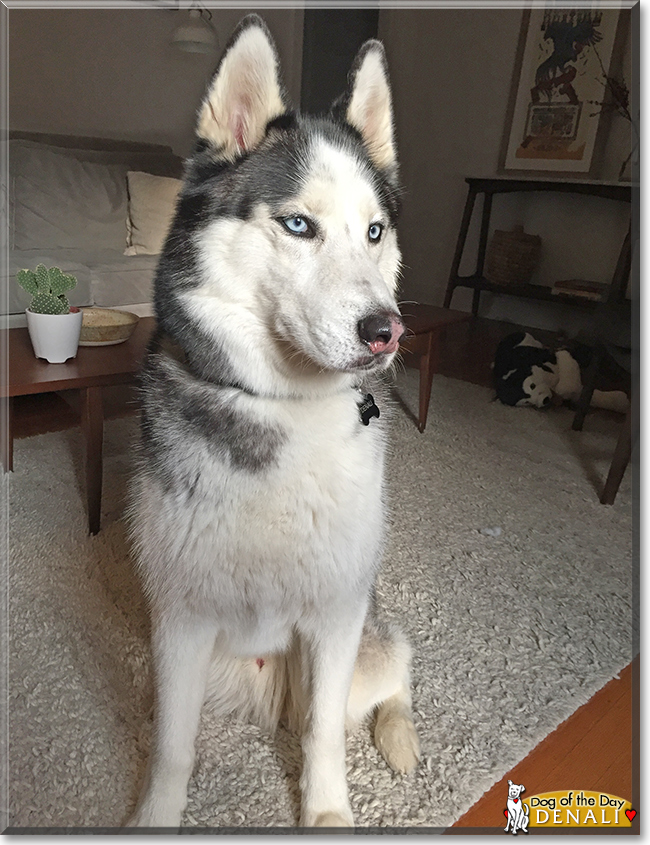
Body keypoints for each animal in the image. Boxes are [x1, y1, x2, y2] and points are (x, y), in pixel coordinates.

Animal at [129, 13, 418, 828]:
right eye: (297, 224)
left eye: (375, 232)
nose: (386, 330)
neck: (283, 410)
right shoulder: (179, 621)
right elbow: (172, 745)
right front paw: (156, 814)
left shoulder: (337, 613)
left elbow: (323, 737)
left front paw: (326, 814)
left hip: (366, 641)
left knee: (392, 676)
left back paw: (400, 736)